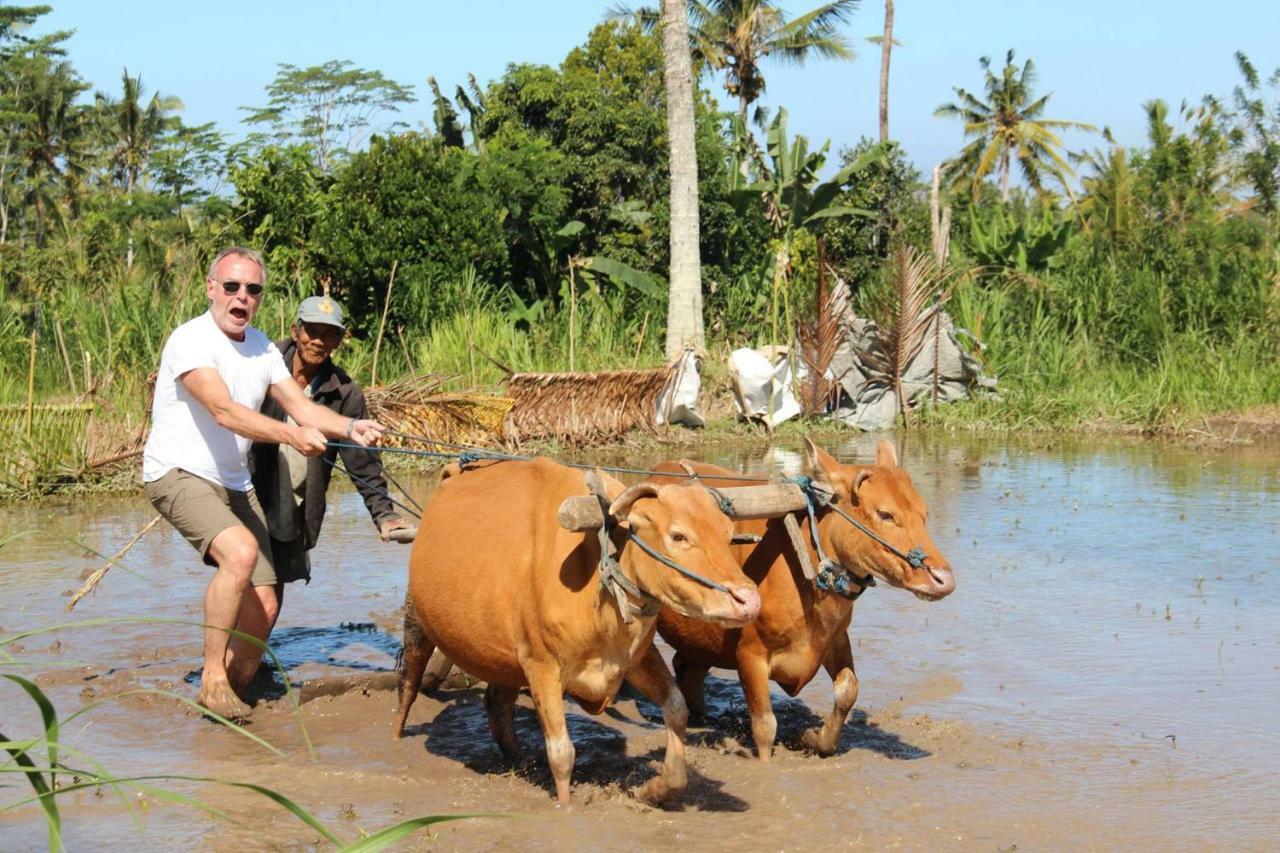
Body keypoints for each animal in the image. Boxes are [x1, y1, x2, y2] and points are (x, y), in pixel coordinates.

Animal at [394, 455, 757, 799]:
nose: (749, 600)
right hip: (417, 624)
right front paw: (565, 807)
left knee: (497, 703)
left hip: (505, 659)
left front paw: (655, 791)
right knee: (408, 685)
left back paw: (519, 760)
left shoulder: (636, 659)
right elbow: (561, 754)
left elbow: (677, 710)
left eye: (728, 534)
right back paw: (397, 736)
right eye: (678, 535)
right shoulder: (542, 667)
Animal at [650, 438, 952, 758]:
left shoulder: (835, 638)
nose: (943, 579)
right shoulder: (750, 655)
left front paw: (814, 739)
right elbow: (765, 727)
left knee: (687, 669)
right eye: (885, 514)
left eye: (923, 512)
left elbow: (848, 689)